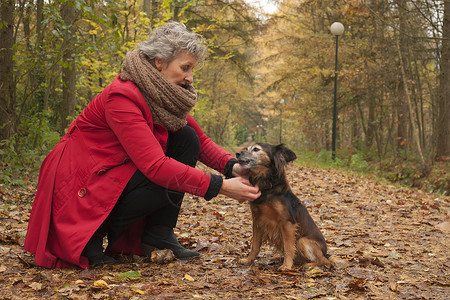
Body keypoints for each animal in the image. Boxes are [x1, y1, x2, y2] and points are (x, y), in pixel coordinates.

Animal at [236, 144, 330, 272]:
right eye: (246, 148)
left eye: (256, 149)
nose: (237, 153)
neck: (268, 189)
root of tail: (325, 252)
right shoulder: (257, 221)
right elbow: (255, 245)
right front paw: (248, 260)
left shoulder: (287, 223)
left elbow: (288, 247)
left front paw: (286, 266)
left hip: (302, 241)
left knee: (324, 261)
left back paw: (309, 265)